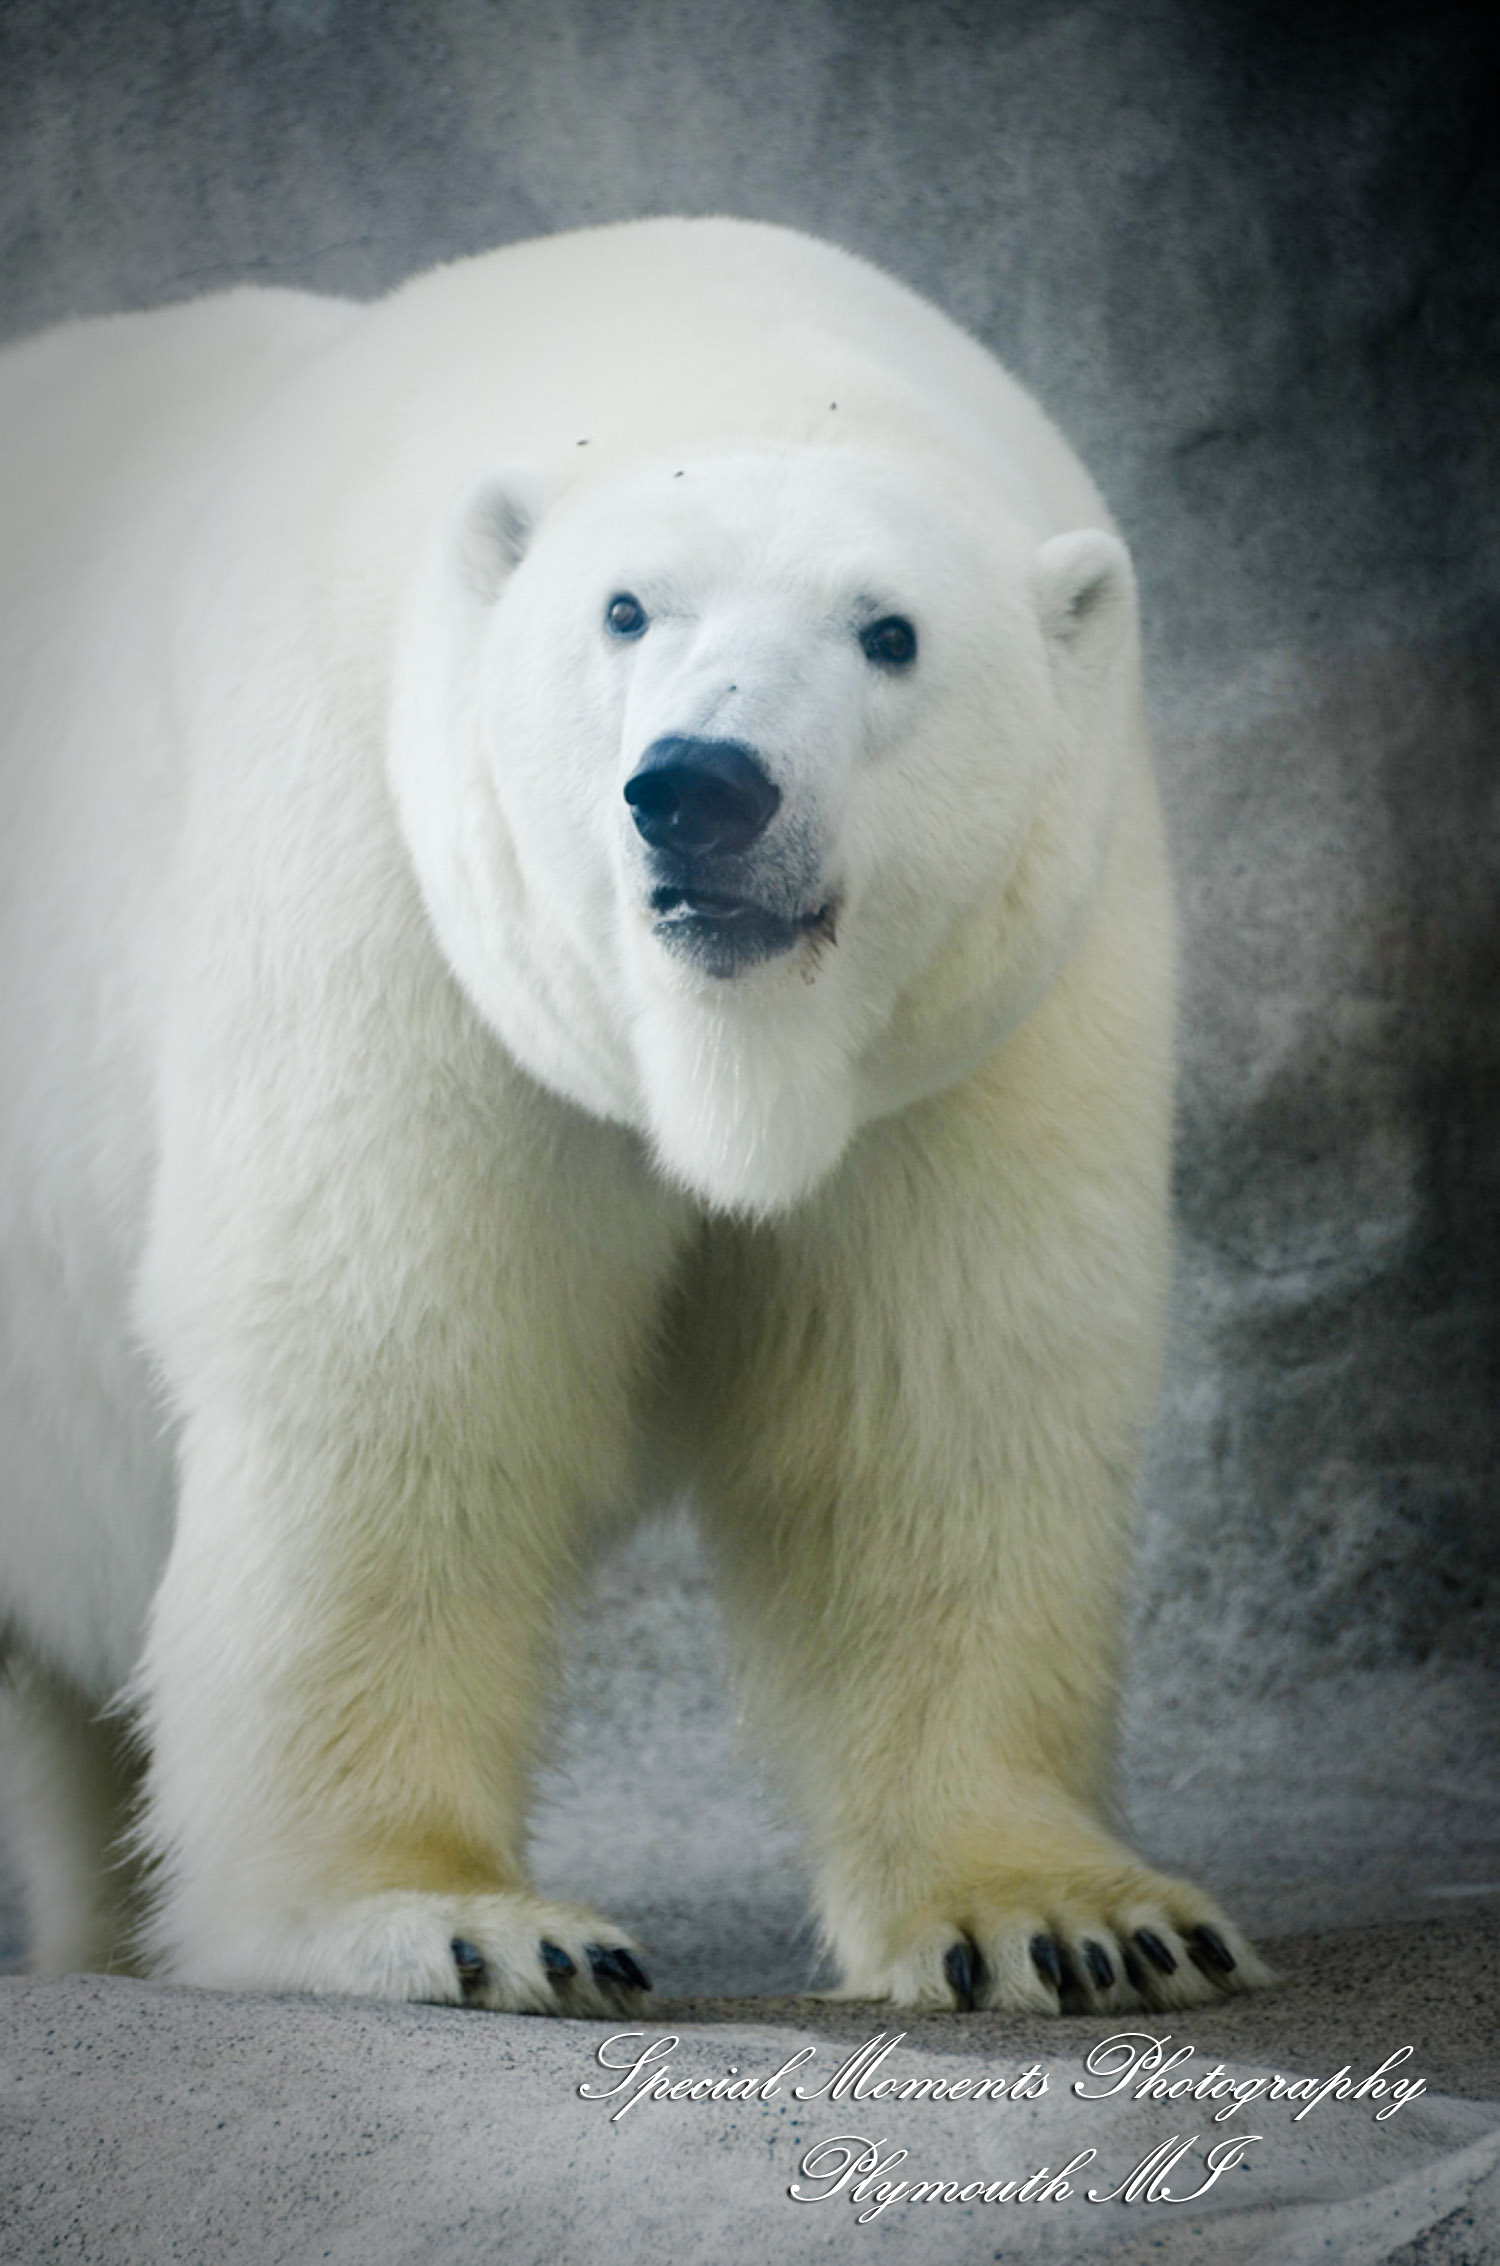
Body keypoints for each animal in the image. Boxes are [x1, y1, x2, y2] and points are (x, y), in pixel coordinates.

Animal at [0, 216, 1269, 2015]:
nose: (701, 787)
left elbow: (944, 1390)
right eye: (622, 609)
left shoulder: (989, 1017)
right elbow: (397, 1361)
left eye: (890, 632)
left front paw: (1077, 1919)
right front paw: (456, 1919)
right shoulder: (395, 889)